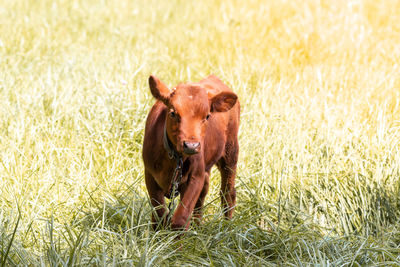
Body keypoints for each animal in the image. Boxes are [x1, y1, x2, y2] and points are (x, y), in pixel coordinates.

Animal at [142, 75, 239, 230]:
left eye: (207, 116)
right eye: (173, 113)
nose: (191, 146)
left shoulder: (195, 176)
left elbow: (180, 218)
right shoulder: (150, 174)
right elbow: (159, 214)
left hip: (231, 152)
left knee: (228, 192)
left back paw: (227, 226)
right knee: (203, 195)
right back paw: (197, 227)